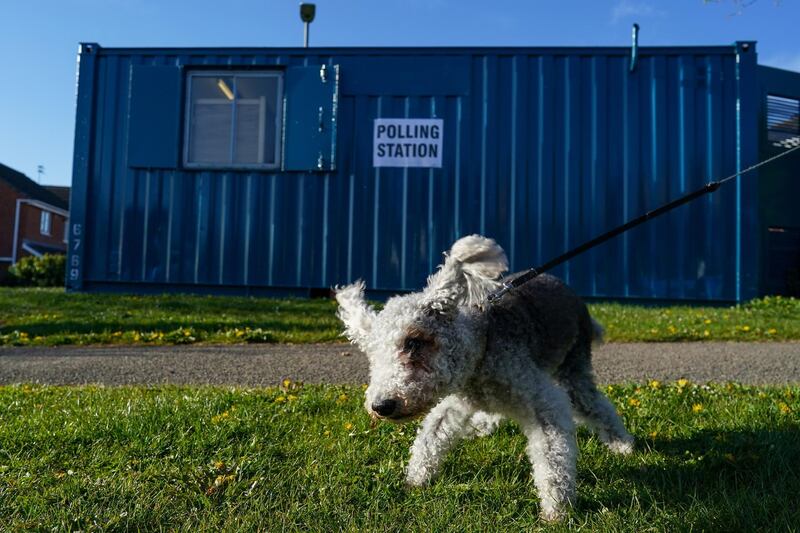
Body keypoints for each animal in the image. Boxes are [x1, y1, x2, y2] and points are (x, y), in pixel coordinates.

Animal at [334, 234, 636, 520]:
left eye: (413, 342)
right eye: (372, 354)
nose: (381, 406)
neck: (482, 351)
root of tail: (567, 289)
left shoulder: (543, 402)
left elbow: (553, 456)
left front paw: (556, 509)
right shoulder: (456, 401)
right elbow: (431, 435)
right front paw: (415, 479)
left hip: (573, 368)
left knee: (596, 405)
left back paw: (622, 444)